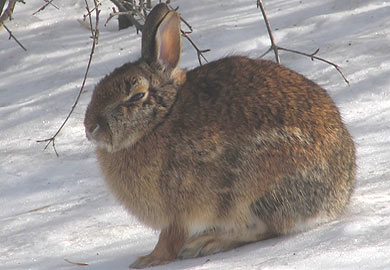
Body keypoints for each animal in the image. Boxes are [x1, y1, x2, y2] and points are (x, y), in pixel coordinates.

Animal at [84, 2, 354, 268]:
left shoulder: (178, 209)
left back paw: (207, 242)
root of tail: (339, 195)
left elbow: (169, 239)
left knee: (266, 229)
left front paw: (149, 259)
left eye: (137, 96)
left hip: (255, 184)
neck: (160, 121)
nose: (89, 127)